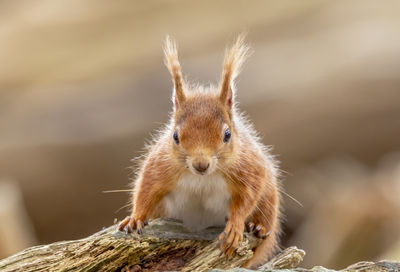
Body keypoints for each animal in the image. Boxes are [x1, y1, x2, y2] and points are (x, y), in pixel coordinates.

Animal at [119, 34, 282, 268]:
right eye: (175, 136)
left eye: (227, 134)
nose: (201, 164)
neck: (203, 179)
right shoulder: (159, 166)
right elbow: (146, 191)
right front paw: (135, 218)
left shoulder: (249, 169)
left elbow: (247, 198)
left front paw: (235, 228)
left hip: (270, 201)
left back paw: (258, 227)